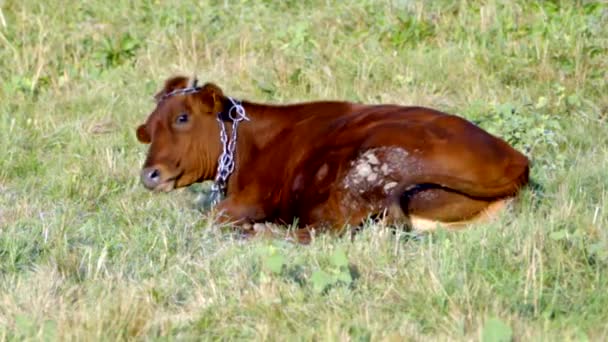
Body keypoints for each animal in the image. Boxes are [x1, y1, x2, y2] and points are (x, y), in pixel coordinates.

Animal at [135, 76, 528, 242]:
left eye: (182, 118)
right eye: (148, 129)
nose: (149, 175)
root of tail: (516, 163)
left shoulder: (251, 199)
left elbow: (214, 217)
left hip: (365, 173)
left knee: (327, 231)